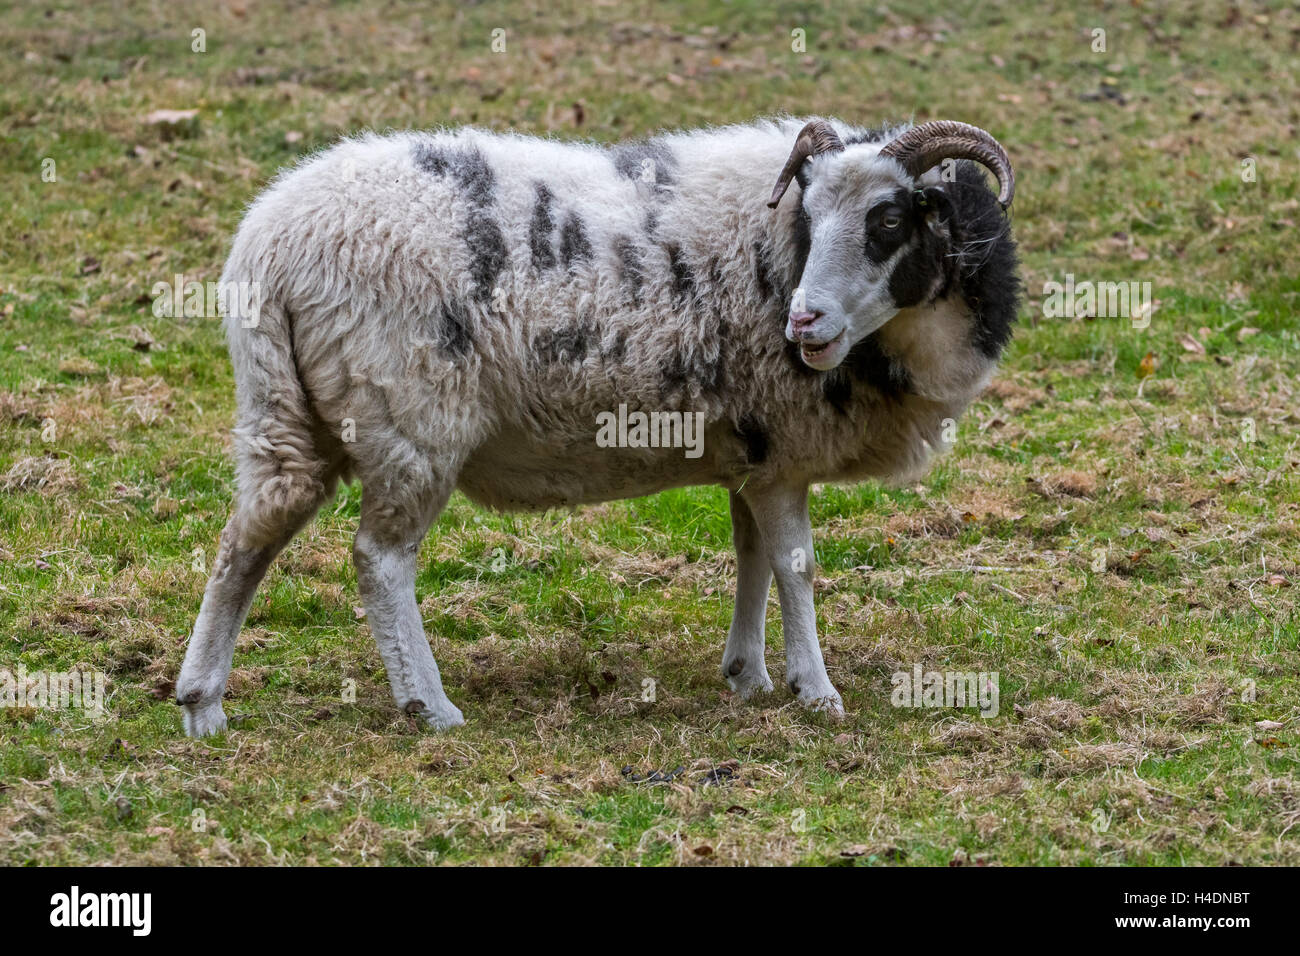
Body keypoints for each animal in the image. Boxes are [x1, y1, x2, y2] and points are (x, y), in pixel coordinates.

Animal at [175, 115, 1024, 738]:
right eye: (810, 217)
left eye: (889, 217)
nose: (804, 323)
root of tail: (270, 244)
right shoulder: (782, 451)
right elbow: (795, 567)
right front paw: (814, 690)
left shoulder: (752, 451)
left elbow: (749, 558)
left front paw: (746, 675)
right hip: (412, 419)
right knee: (380, 562)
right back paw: (430, 707)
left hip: (287, 413)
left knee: (248, 538)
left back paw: (202, 704)